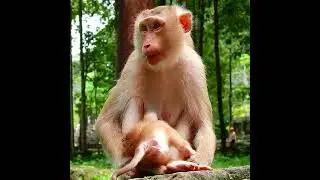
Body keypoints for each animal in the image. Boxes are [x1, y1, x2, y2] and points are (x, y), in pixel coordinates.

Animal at [94, 4, 215, 170]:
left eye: (156, 26)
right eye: (144, 28)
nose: (146, 44)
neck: (164, 65)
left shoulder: (194, 66)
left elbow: (204, 125)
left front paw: (199, 160)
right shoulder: (132, 64)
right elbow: (105, 121)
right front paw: (123, 162)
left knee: (189, 115)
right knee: (135, 100)